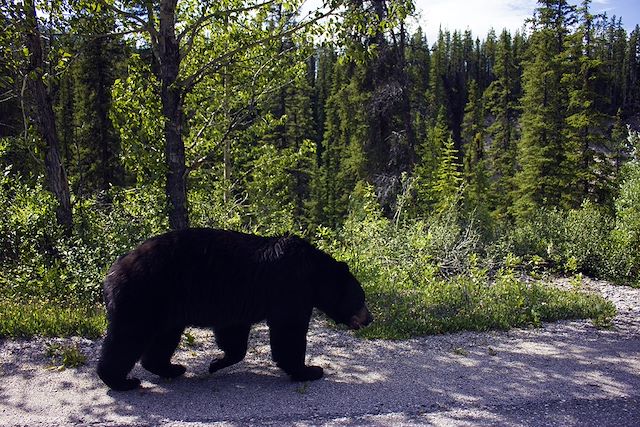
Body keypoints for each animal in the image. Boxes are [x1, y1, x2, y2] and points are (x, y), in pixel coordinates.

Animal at [97, 229, 372, 392]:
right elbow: (289, 332)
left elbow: (234, 334)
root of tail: (112, 272)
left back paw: (172, 368)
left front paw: (217, 362)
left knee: (162, 339)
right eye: (361, 298)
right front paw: (309, 370)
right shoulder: (290, 290)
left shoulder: (235, 302)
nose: (369, 318)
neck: (314, 275)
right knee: (127, 339)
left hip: (166, 307)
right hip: (143, 296)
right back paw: (121, 380)